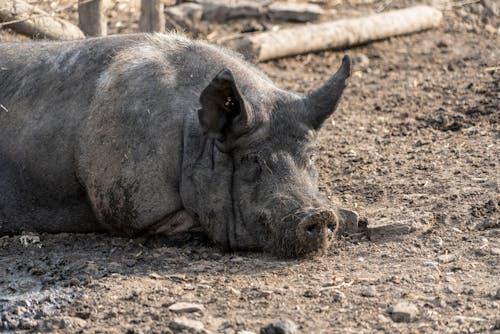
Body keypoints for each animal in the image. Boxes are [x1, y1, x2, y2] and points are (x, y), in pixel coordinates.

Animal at [0, 34, 360, 258]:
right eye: (251, 160)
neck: (192, 139)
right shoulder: (129, 205)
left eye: (310, 157)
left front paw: (352, 216)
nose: (319, 214)